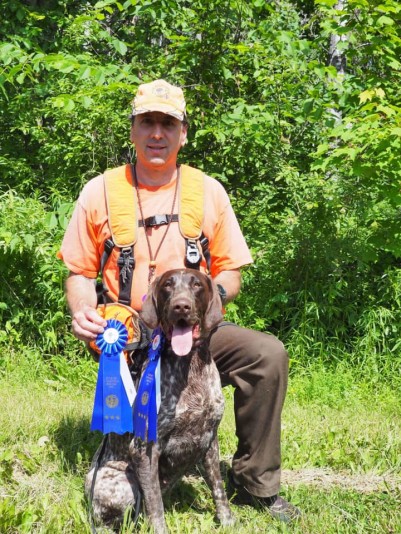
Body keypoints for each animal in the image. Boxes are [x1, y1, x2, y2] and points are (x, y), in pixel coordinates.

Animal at [85, 270, 234, 534]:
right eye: (167, 286)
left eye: (197, 285)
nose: (181, 306)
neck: (190, 367)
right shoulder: (145, 448)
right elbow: (155, 505)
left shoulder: (209, 439)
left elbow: (218, 488)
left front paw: (226, 521)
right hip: (122, 482)